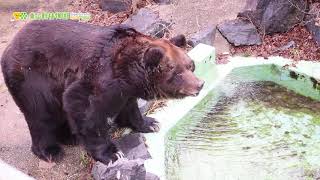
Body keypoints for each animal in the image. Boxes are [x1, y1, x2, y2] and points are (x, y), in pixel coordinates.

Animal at [1, 20, 204, 165]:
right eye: (177, 73)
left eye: (190, 65)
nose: (200, 84)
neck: (129, 74)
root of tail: (10, 46)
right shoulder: (99, 80)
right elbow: (83, 107)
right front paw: (112, 153)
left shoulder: (125, 89)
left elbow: (130, 107)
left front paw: (150, 123)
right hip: (33, 78)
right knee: (41, 115)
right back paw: (50, 151)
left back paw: (69, 137)